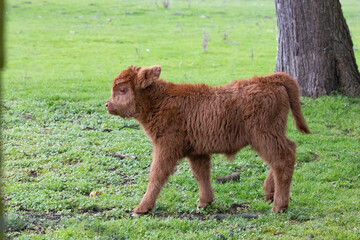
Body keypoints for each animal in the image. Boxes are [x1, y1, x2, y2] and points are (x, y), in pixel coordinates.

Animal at [104, 65, 310, 216]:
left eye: (122, 90)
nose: (107, 104)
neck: (160, 101)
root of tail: (267, 79)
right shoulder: (197, 151)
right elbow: (201, 174)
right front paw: (204, 202)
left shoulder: (166, 148)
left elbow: (156, 175)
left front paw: (141, 208)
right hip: (271, 136)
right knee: (285, 154)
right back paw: (270, 193)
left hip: (264, 137)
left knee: (282, 159)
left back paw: (279, 205)